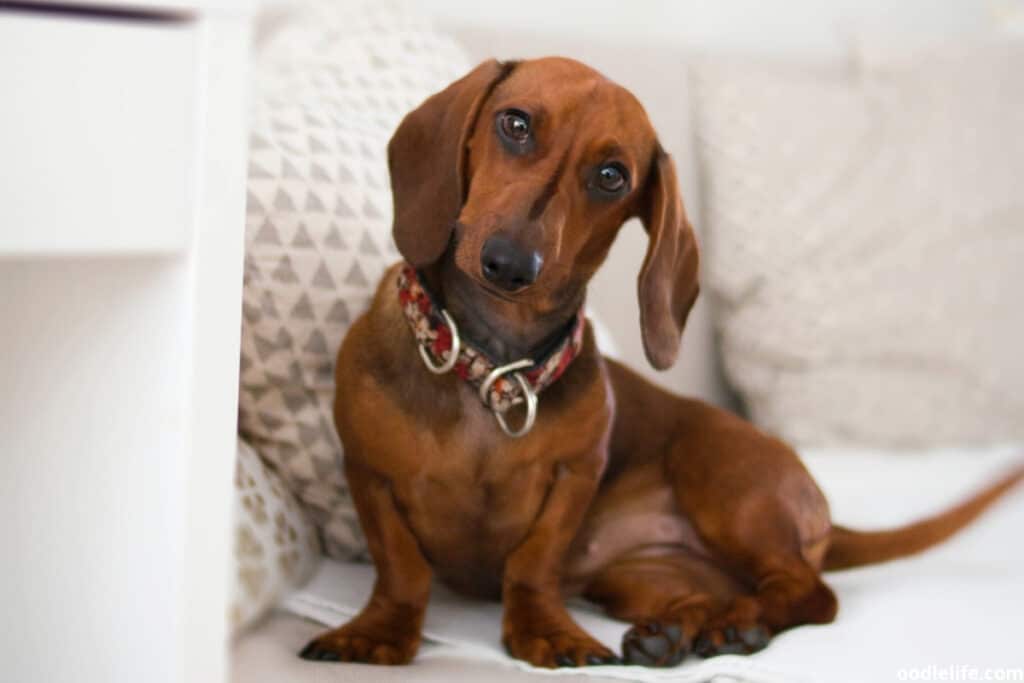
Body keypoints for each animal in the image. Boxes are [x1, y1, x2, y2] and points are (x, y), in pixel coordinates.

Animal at [299, 57, 1024, 667]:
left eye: (611, 175)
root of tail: (819, 508)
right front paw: (379, 631)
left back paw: (734, 625)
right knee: (721, 593)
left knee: (809, 591)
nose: (509, 263)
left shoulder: (574, 476)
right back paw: (682, 628)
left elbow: (532, 563)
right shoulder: (366, 470)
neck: (493, 370)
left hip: (724, 482)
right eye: (515, 123)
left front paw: (547, 630)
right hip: (640, 575)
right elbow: (401, 566)